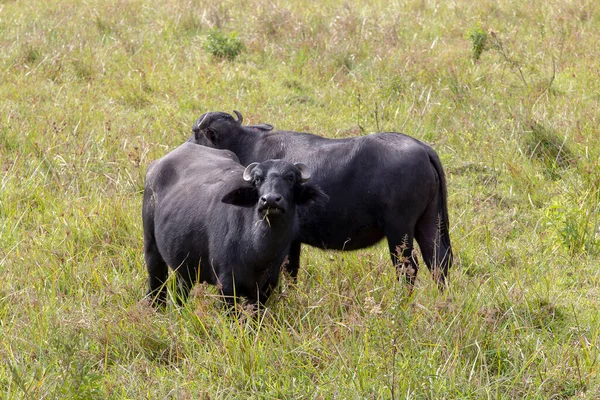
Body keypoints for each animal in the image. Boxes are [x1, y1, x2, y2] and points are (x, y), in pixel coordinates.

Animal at [142, 141, 326, 306]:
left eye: (291, 178)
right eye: (257, 179)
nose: (270, 199)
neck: (258, 252)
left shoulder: (266, 287)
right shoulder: (226, 286)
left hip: (185, 265)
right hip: (152, 249)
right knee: (156, 285)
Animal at [190, 111, 452, 290]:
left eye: (196, 133)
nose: (187, 147)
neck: (247, 147)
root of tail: (423, 149)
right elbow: (292, 272)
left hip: (400, 230)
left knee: (409, 268)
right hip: (430, 222)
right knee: (439, 261)